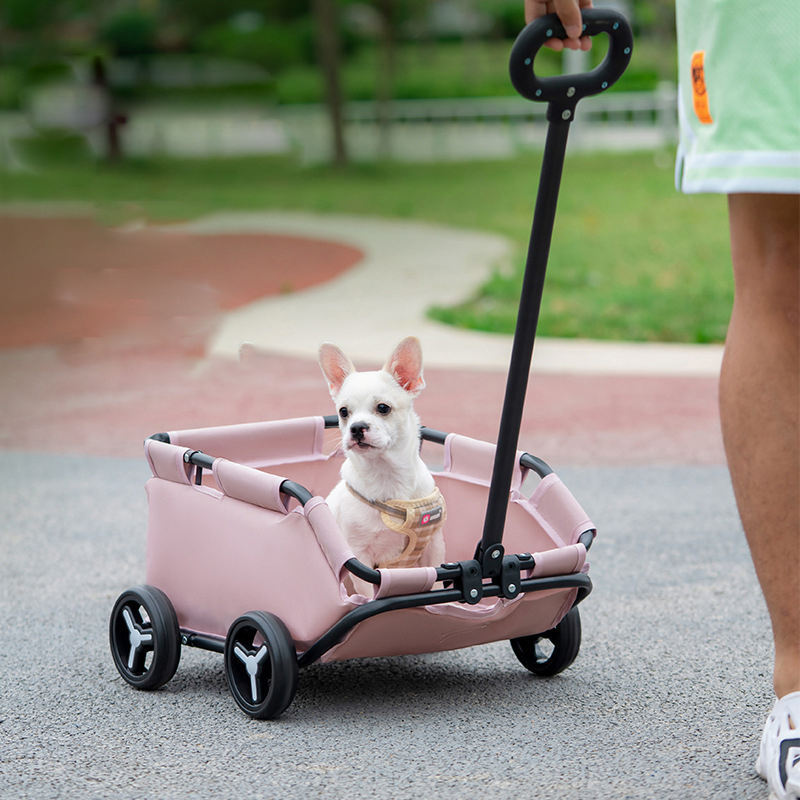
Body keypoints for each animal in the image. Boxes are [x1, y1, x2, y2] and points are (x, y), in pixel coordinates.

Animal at [318, 336, 446, 592]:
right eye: (343, 412)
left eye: (383, 408)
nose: (357, 427)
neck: (386, 475)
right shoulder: (359, 557)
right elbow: (369, 593)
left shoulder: (434, 546)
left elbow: (437, 581)